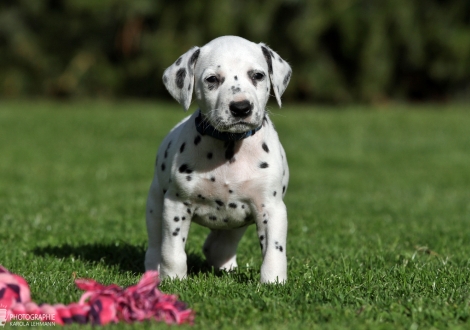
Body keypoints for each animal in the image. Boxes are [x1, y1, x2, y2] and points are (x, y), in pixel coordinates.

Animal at [145, 35, 292, 284]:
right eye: (212, 79)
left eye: (258, 75)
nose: (241, 107)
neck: (229, 146)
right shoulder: (176, 206)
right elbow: (172, 252)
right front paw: (174, 280)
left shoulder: (271, 208)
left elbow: (274, 251)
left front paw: (273, 282)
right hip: (155, 206)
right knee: (156, 246)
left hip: (235, 226)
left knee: (217, 247)